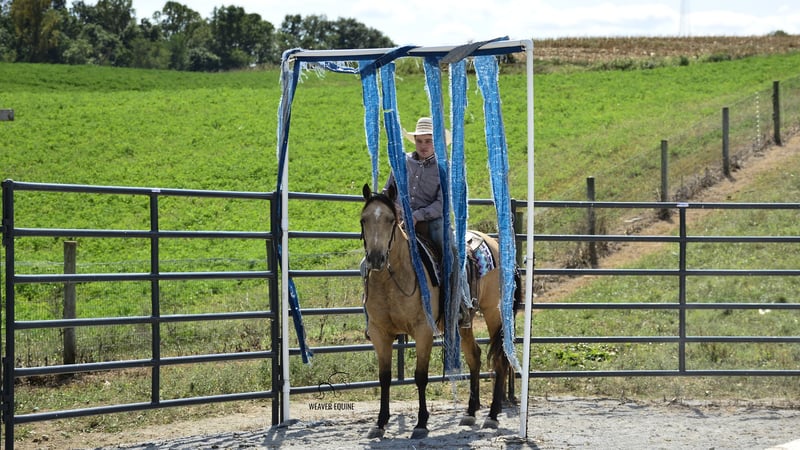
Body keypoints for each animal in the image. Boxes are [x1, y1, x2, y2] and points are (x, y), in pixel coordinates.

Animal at [360, 183, 514, 439]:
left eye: (391, 219)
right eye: (364, 220)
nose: (376, 258)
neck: (394, 280)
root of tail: (491, 242)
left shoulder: (423, 330)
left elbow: (421, 376)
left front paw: (421, 423)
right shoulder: (380, 333)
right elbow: (384, 378)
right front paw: (380, 423)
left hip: (494, 312)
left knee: (500, 359)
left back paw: (492, 415)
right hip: (463, 324)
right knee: (474, 356)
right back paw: (470, 412)